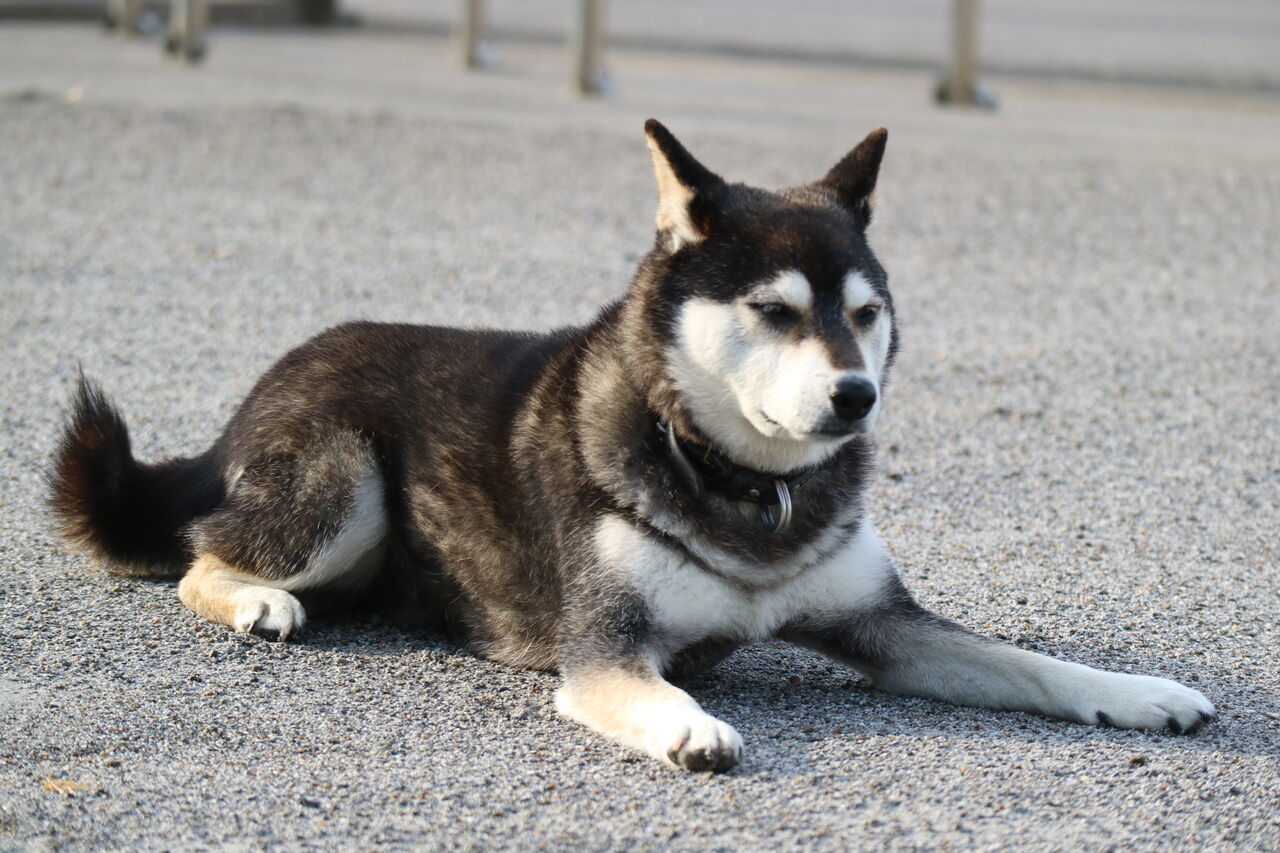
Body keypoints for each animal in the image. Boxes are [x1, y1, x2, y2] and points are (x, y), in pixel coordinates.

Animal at [49, 120, 1215, 772]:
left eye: (864, 312)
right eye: (775, 311)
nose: (857, 396)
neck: (742, 486)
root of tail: (266, 381)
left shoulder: (886, 626)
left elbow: (1028, 663)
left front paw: (1137, 693)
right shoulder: (606, 648)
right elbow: (649, 688)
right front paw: (686, 723)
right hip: (344, 477)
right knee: (200, 553)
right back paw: (256, 599)